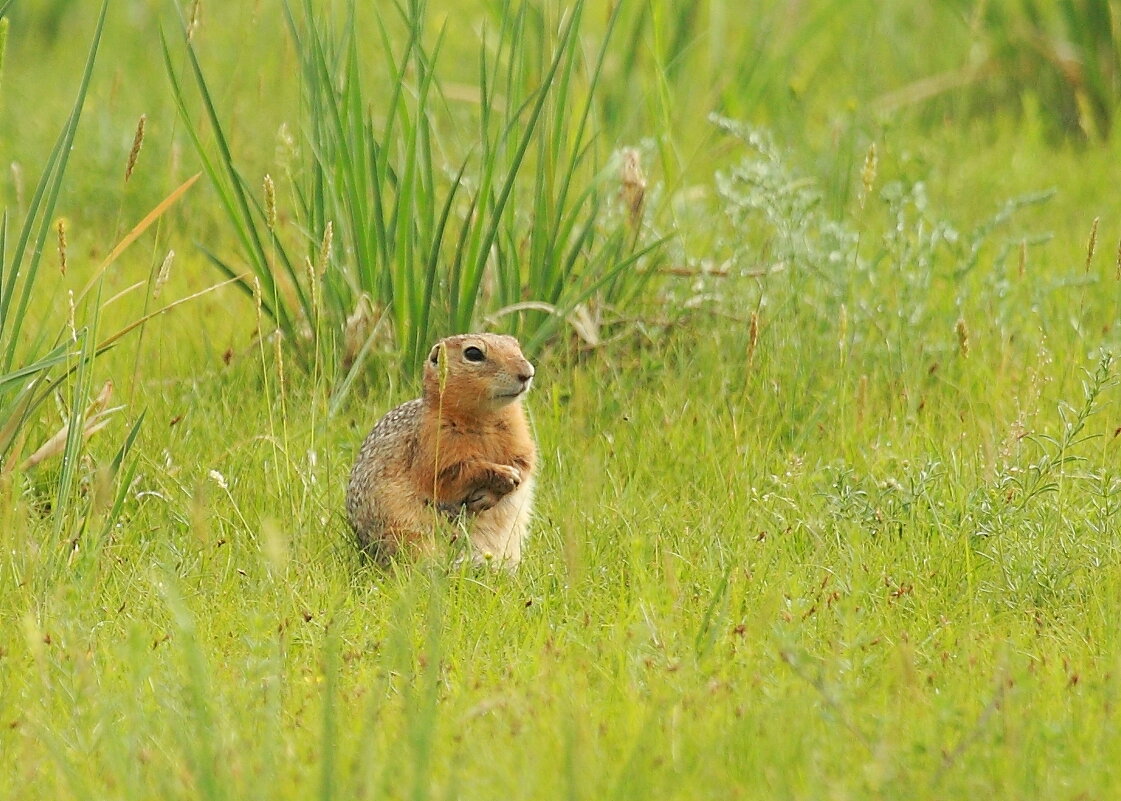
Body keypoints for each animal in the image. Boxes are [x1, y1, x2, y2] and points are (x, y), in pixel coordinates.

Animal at [345, 336, 538, 566]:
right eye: (473, 353)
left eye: (516, 346)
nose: (527, 373)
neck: (484, 418)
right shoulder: (433, 445)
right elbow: (450, 475)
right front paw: (502, 474)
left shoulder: (521, 440)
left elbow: (525, 463)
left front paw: (499, 487)